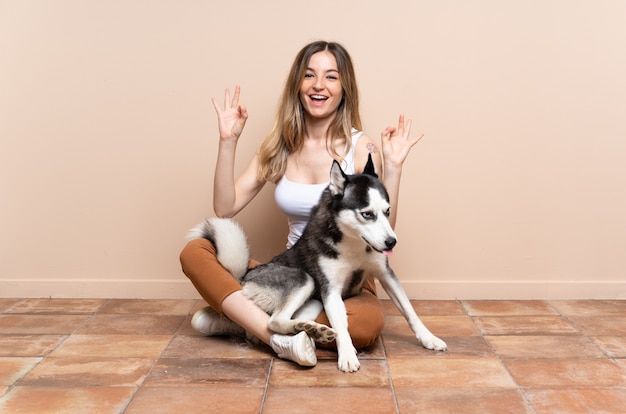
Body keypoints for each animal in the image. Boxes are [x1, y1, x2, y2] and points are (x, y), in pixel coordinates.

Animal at [188, 155, 446, 372]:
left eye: (387, 211)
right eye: (367, 214)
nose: (392, 242)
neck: (352, 242)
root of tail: (244, 278)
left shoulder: (385, 273)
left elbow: (409, 310)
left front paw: (428, 338)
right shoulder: (330, 290)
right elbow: (342, 326)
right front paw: (347, 356)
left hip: (314, 302)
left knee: (275, 324)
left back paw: (313, 332)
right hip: (305, 280)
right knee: (273, 321)